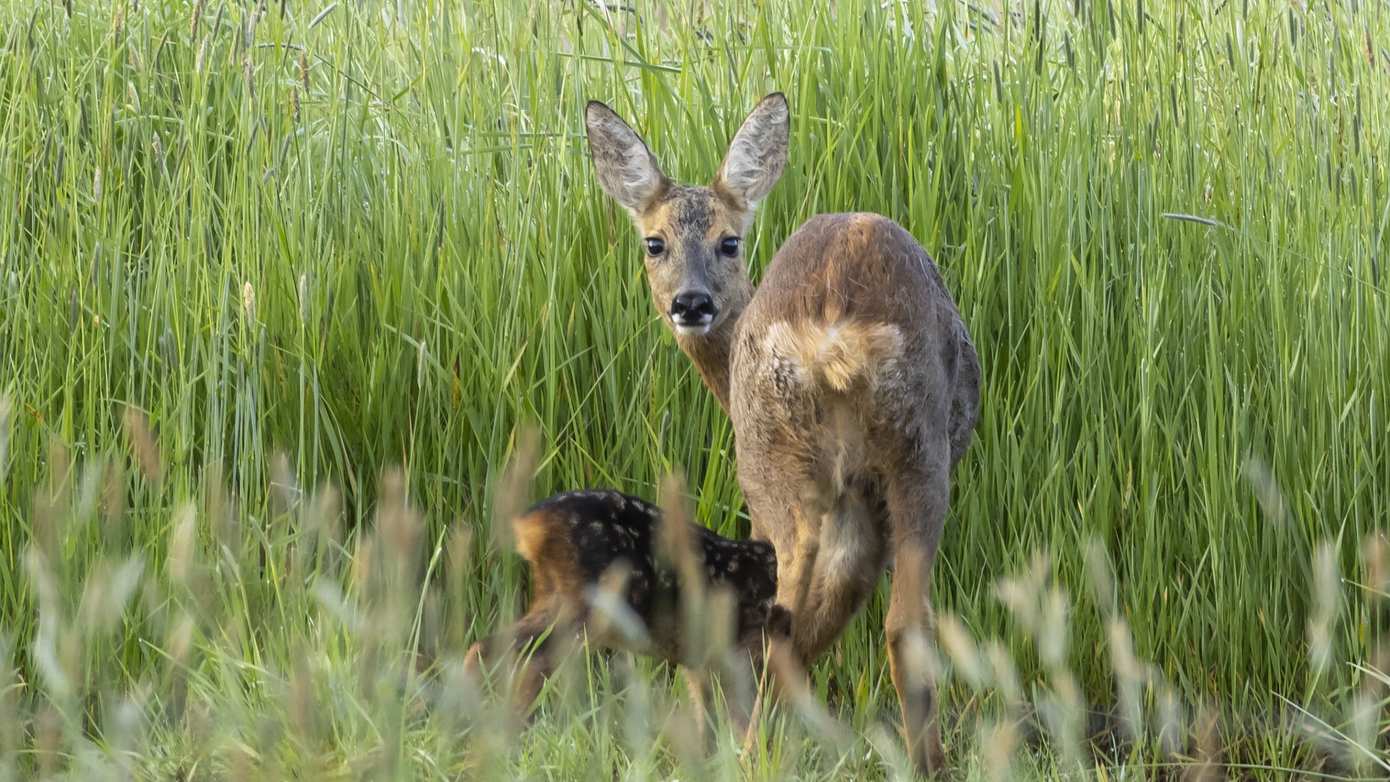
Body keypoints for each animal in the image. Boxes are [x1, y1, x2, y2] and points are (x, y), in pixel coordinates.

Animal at [583, 95, 978, 772]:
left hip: (778, 466)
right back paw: (921, 762)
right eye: (654, 242)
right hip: (912, 457)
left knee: (786, 617)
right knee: (903, 622)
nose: (691, 303)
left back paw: (754, 752)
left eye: (729, 240)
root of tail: (837, 332)